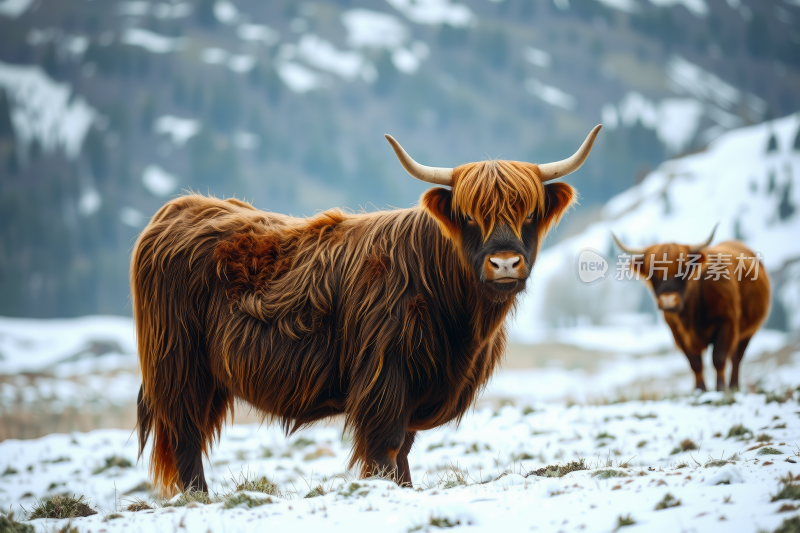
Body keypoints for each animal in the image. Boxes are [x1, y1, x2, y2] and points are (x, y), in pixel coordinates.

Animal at [131, 125, 600, 494]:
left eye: (530, 212)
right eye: (469, 216)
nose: (504, 263)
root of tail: (177, 209)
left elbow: (405, 449)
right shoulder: (384, 377)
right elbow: (386, 447)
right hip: (179, 365)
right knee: (185, 434)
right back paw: (199, 496)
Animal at [612, 229, 768, 390]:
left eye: (683, 269)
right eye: (652, 272)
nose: (668, 300)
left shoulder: (727, 322)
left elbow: (718, 357)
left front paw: (720, 388)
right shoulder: (678, 333)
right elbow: (695, 363)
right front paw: (700, 390)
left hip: (748, 331)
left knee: (736, 357)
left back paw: (734, 386)